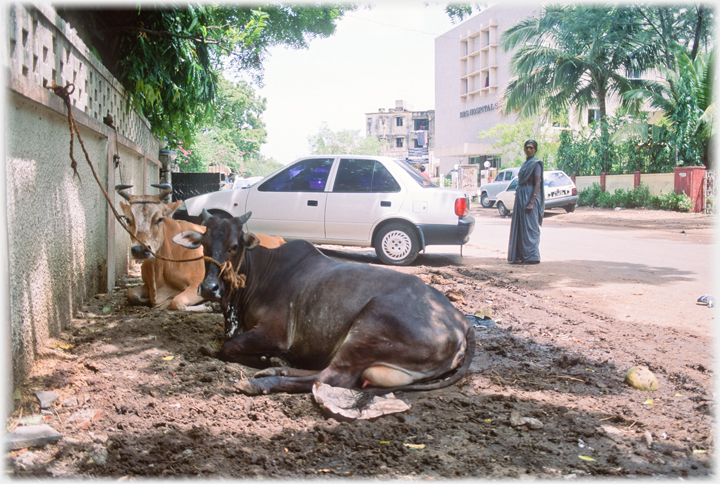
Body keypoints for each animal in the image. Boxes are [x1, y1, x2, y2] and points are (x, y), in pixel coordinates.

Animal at [173, 212, 478, 394]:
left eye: (234, 246)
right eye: (204, 244)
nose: (209, 288)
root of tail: (462, 320)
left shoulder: (276, 333)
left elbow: (228, 347)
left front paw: (262, 358)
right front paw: (268, 358)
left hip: (369, 328)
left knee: (331, 378)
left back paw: (261, 380)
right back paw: (275, 366)